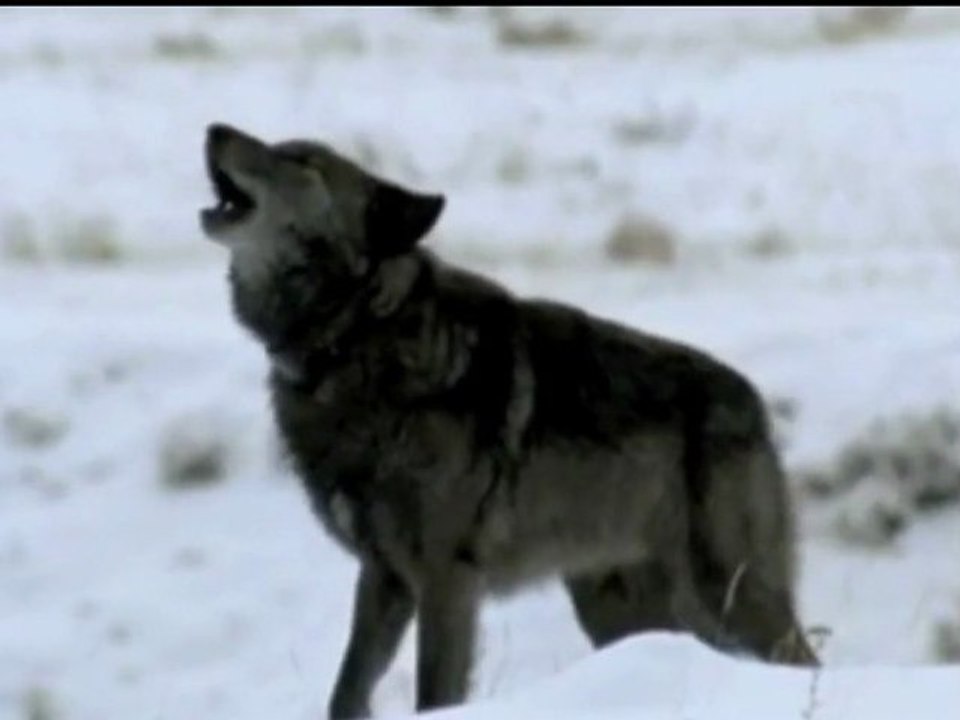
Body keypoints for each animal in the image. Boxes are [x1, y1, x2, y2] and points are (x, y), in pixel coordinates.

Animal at [198, 123, 818, 719]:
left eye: (302, 160)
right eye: (283, 147)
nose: (213, 128)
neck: (353, 336)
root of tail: (754, 401)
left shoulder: (447, 576)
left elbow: (436, 693)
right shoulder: (383, 576)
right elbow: (347, 695)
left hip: (732, 593)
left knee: (805, 660)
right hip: (620, 612)